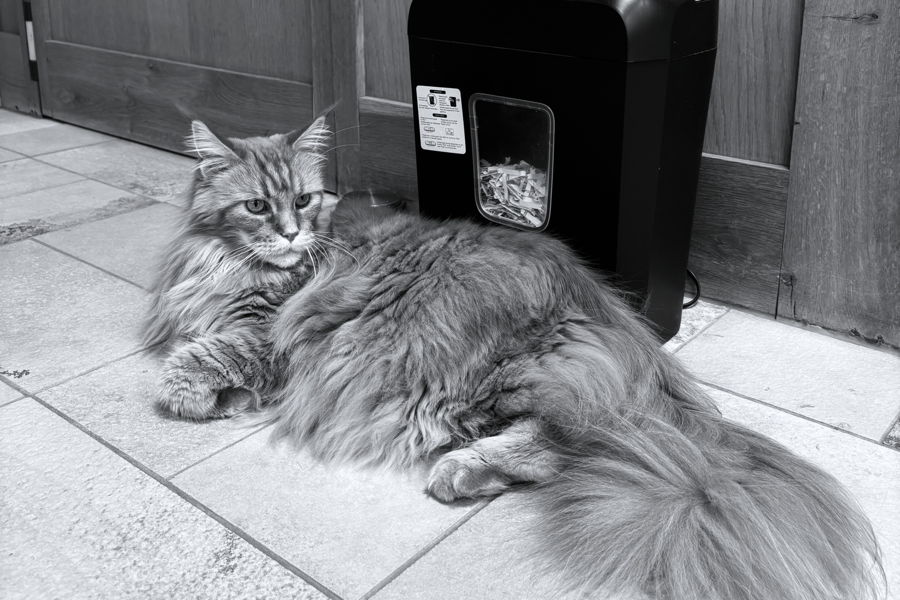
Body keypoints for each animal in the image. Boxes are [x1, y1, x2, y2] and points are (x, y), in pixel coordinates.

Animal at [144, 118, 884, 600]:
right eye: (257, 205)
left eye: (302, 199)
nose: (293, 234)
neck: (223, 262)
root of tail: (631, 335)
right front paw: (224, 396)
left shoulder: (271, 330)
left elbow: (204, 356)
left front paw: (191, 393)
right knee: (569, 447)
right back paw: (472, 472)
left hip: (461, 374)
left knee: (569, 443)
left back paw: (461, 473)